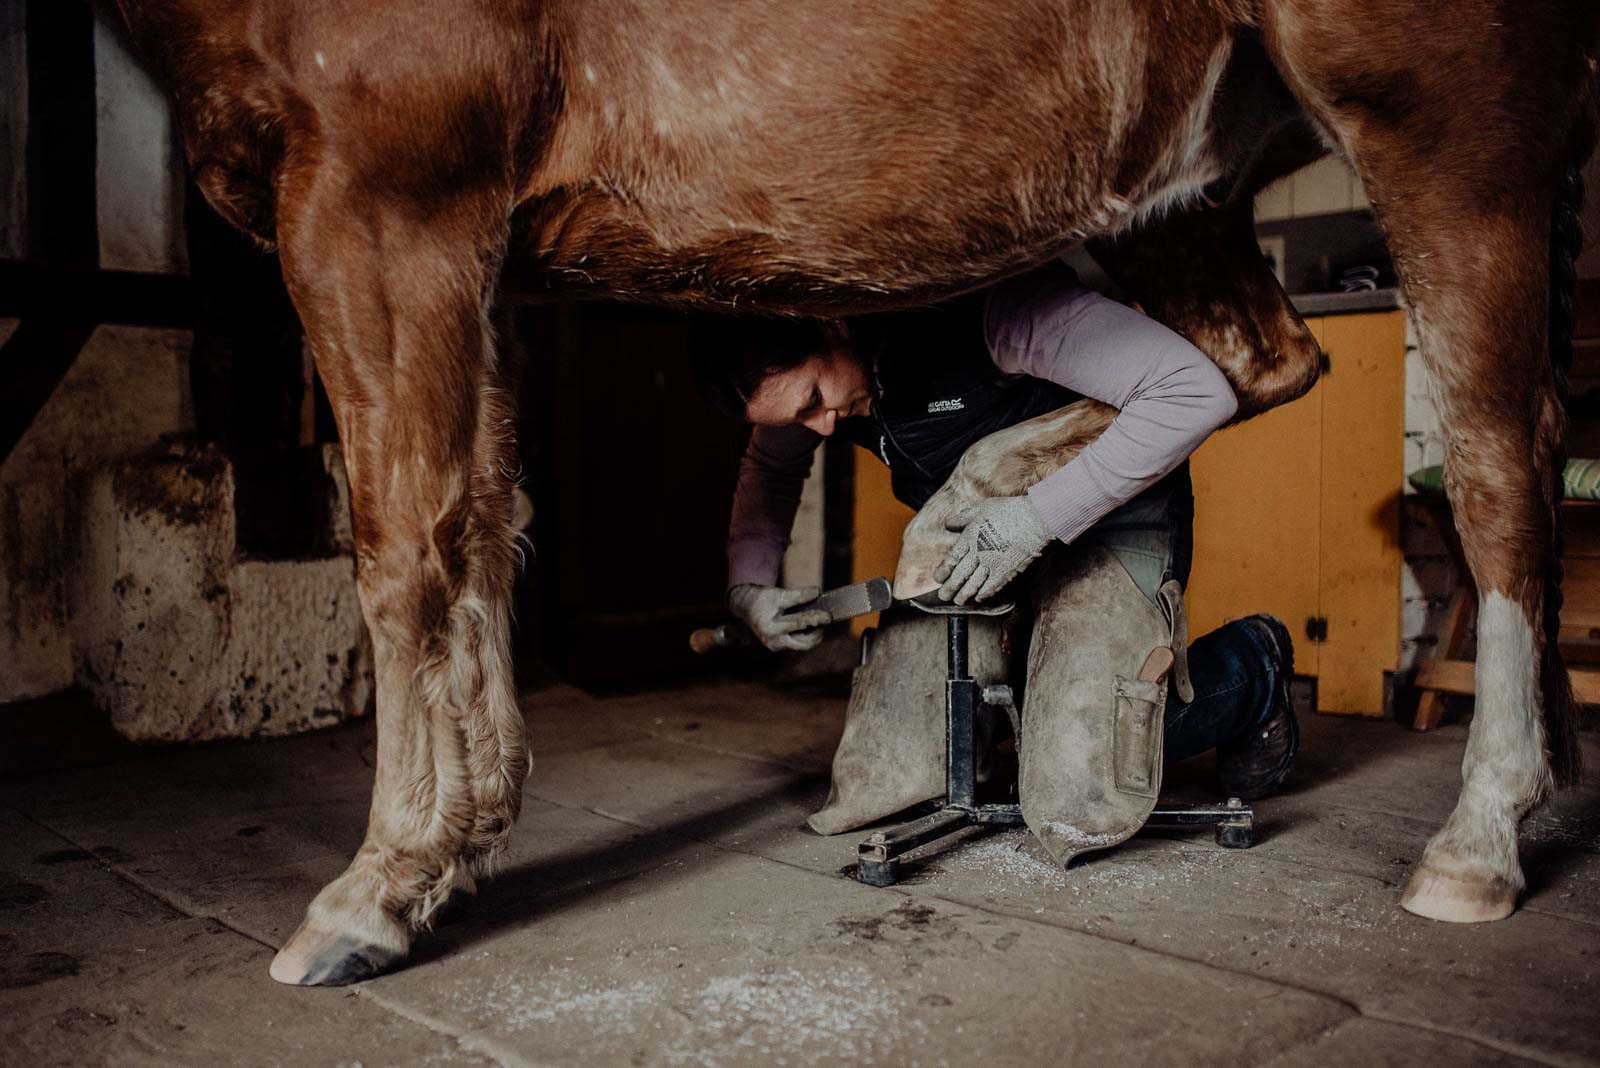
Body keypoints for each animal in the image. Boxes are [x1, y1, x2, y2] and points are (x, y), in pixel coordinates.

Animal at [109, 0, 1587, 984]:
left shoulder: (385, 198)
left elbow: (404, 552)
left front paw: (378, 891)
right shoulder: (457, 261)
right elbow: (477, 536)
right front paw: (458, 854)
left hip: (1437, 109)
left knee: (1495, 456)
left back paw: (1480, 840)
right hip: (1185, 178)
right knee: (1251, 363)